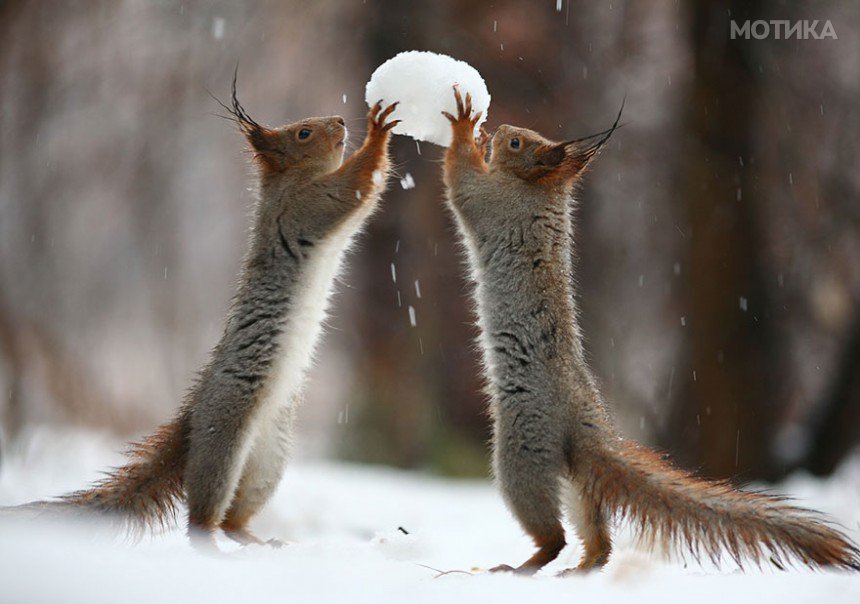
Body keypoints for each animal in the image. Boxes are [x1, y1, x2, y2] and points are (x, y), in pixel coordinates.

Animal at [1, 76, 400, 552]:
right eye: (303, 133)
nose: (340, 120)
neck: (290, 181)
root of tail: (191, 422)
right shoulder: (307, 207)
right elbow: (356, 187)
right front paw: (379, 130)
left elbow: (368, 198)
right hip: (223, 440)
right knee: (202, 517)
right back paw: (213, 547)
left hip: (268, 462)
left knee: (234, 518)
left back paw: (256, 540)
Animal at [440, 86, 856, 576]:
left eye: (517, 143)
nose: (500, 128)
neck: (540, 191)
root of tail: (585, 425)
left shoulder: (492, 203)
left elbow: (460, 182)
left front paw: (465, 126)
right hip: (574, 475)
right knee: (597, 536)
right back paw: (584, 566)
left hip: (522, 453)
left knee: (553, 533)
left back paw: (524, 565)